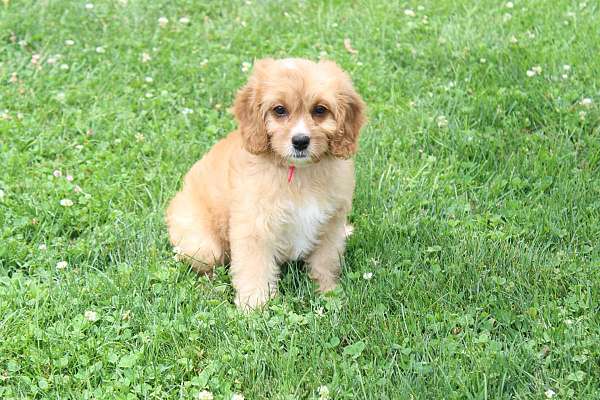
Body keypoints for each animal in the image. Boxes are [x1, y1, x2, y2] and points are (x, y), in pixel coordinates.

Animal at [166, 57, 368, 310]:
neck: (298, 173)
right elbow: (254, 269)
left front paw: (329, 293)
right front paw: (254, 306)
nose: (300, 141)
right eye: (279, 110)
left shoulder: (330, 223)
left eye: (320, 110)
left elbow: (325, 261)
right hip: (202, 245)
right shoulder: (254, 226)